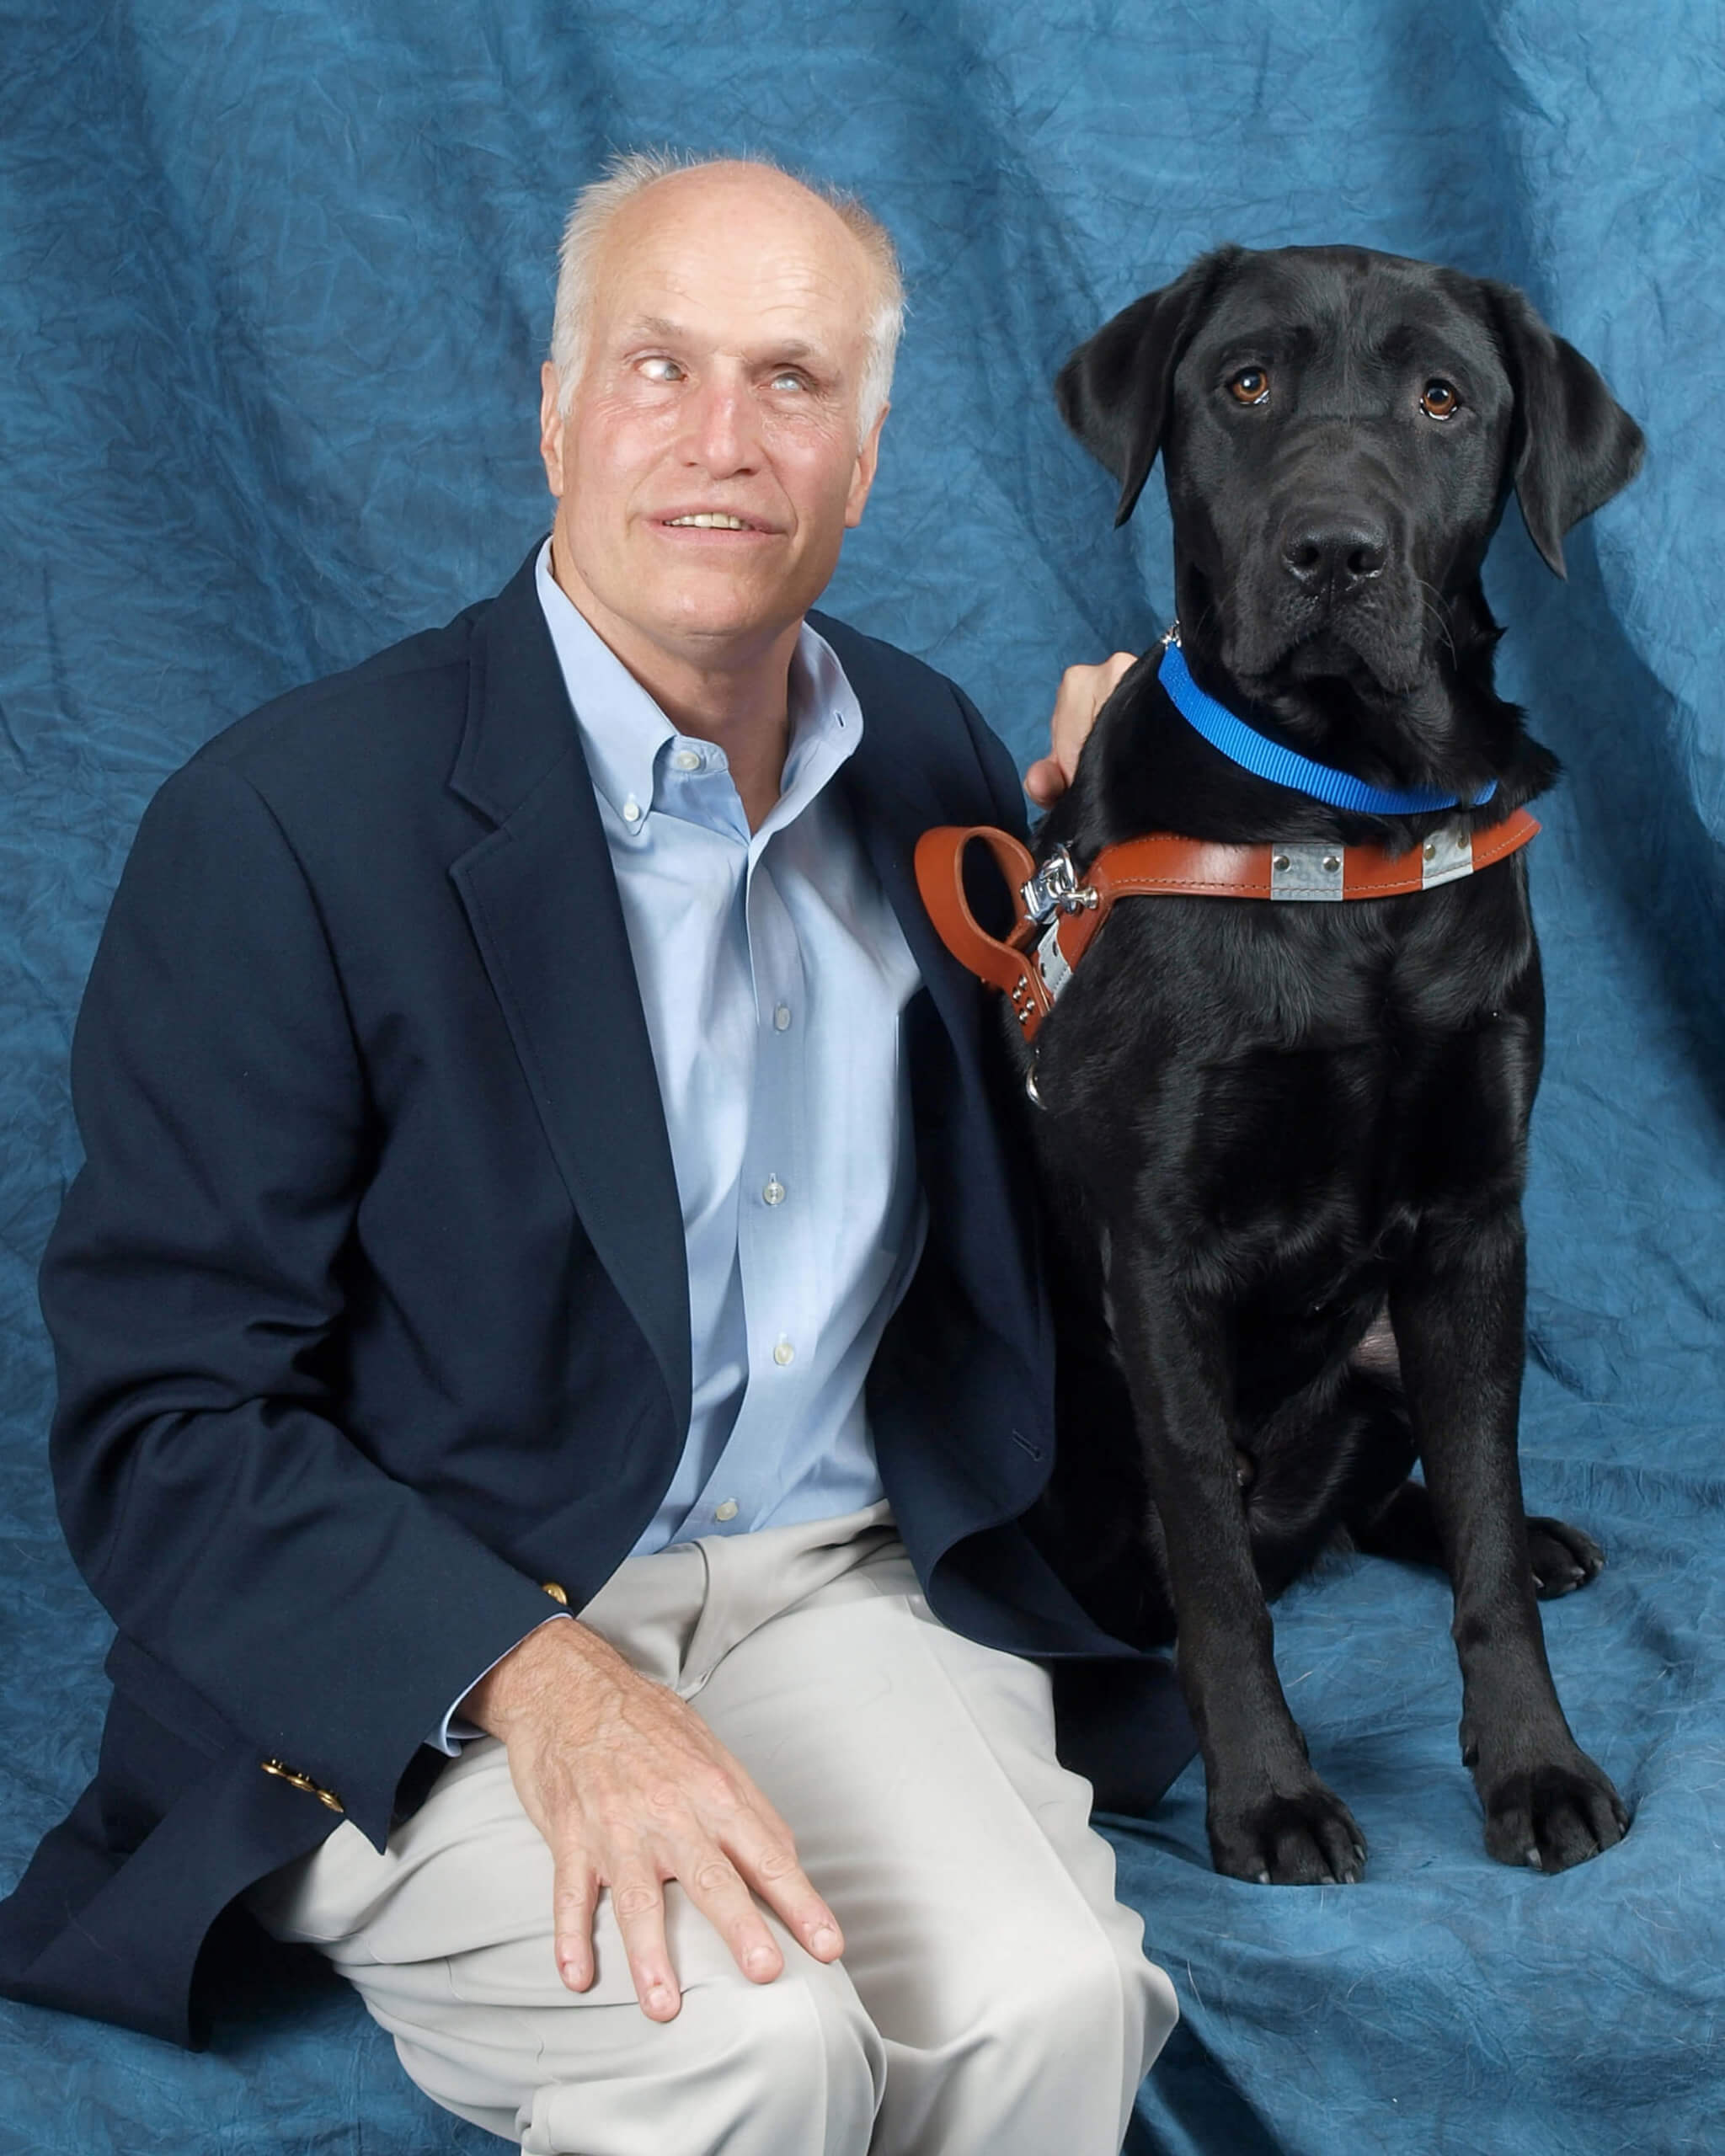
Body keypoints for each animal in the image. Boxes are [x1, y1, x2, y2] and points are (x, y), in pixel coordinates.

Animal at [1017, 244, 1647, 1880]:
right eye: (1245, 383)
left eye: (1443, 400)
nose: (1334, 554)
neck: (1340, 823)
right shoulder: (1157, 1255)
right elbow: (1216, 1582)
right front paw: (1267, 1796)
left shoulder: (1476, 1222)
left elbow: (1482, 1513)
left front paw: (1535, 1764)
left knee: (1419, 1487)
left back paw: (1533, 1538)